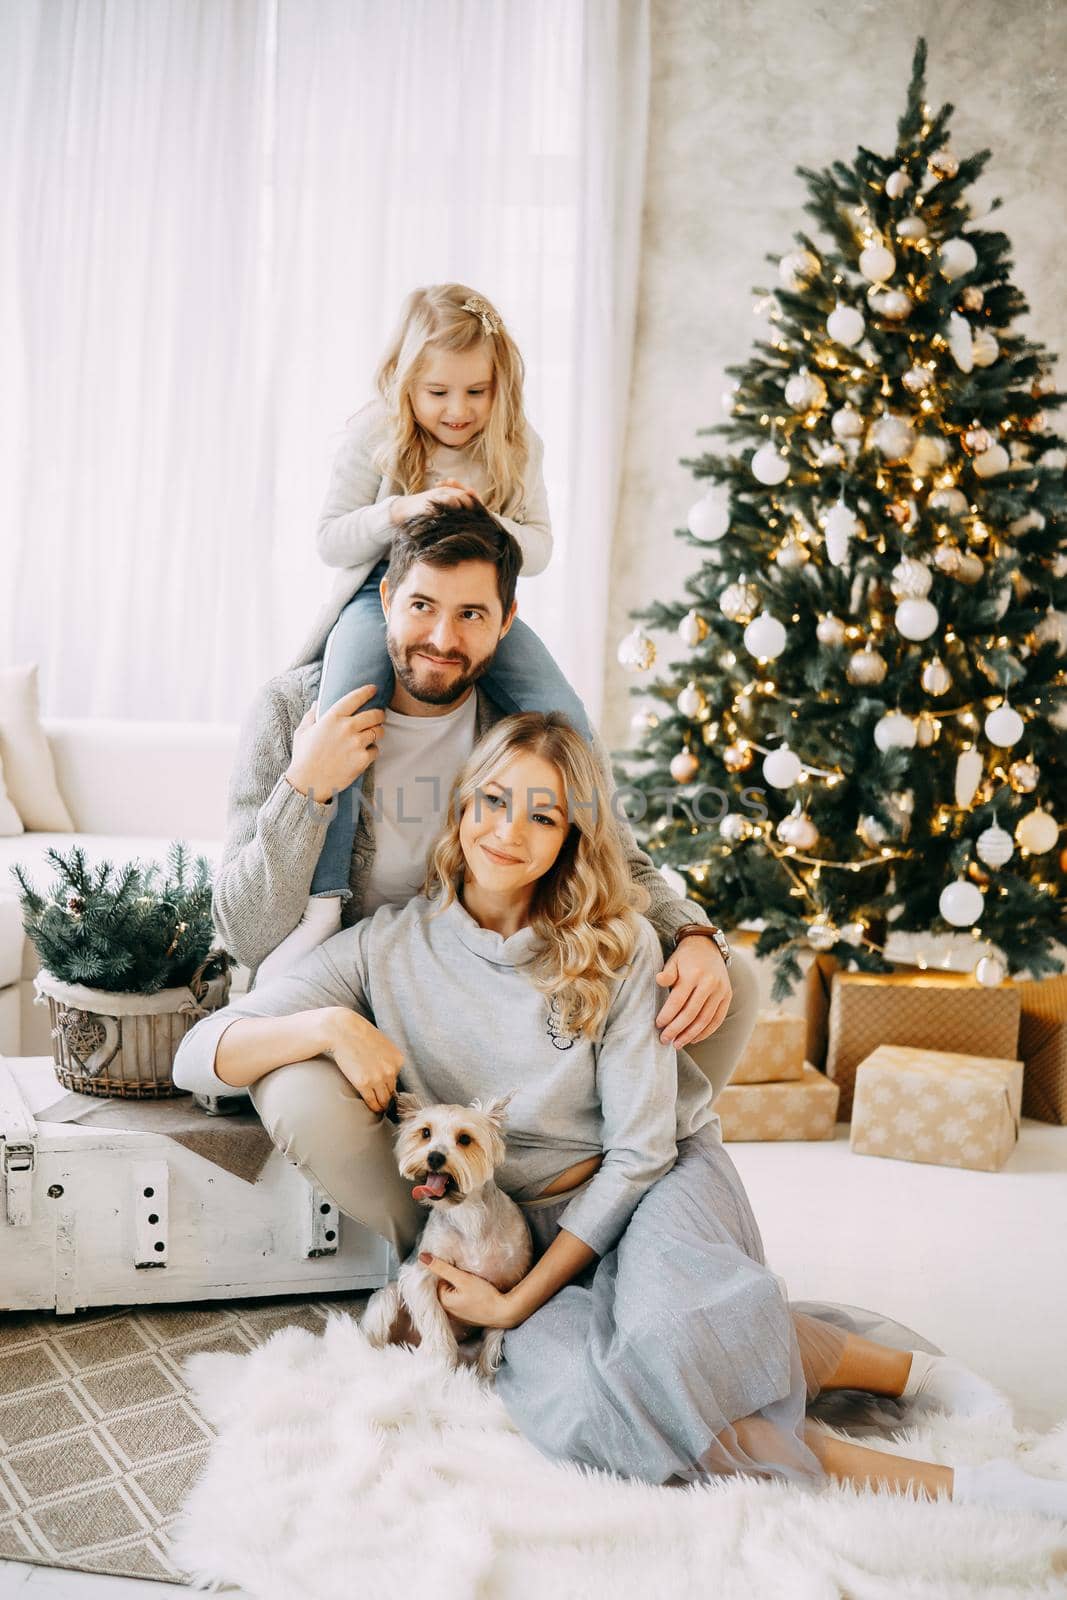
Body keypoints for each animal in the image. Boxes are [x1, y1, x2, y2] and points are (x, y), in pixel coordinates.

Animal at [363, 1094, 534, 1382]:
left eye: (465, 1138)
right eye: (425, 1133)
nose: (434, 1157)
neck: (468, 1215)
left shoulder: (508, 1288)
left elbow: (495, 1335)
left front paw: (484, 1378)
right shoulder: (422, 1271)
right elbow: (435, 1322)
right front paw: (439, 1367)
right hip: (387, 1298)